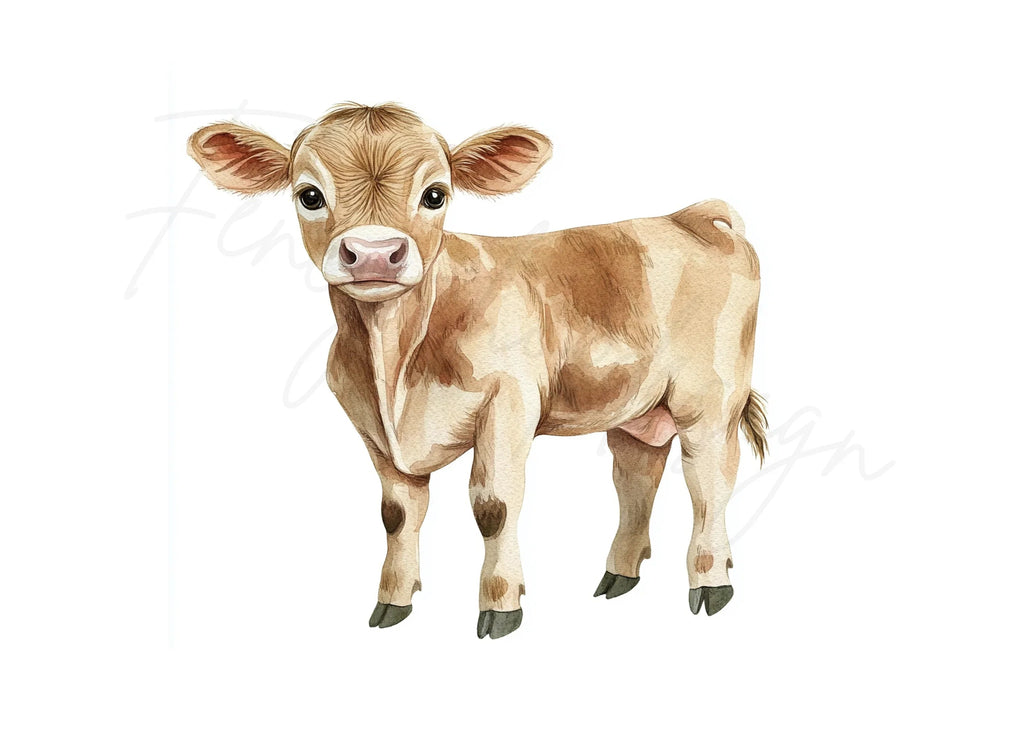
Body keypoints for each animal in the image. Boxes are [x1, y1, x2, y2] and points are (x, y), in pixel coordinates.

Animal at [188, 103, 767, 639]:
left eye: (435, 195)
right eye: (309, 195)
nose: (374, 253)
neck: (395, 364)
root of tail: (688, 217)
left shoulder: (508, 404)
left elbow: (494, 507)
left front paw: (500, 606)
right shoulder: (371, 428)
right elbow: (396, 515)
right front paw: (392, 604)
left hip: (710, 400)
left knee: (708, 484)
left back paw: (711, 583)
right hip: (636, 408)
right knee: (637, 476)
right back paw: (619, 576)